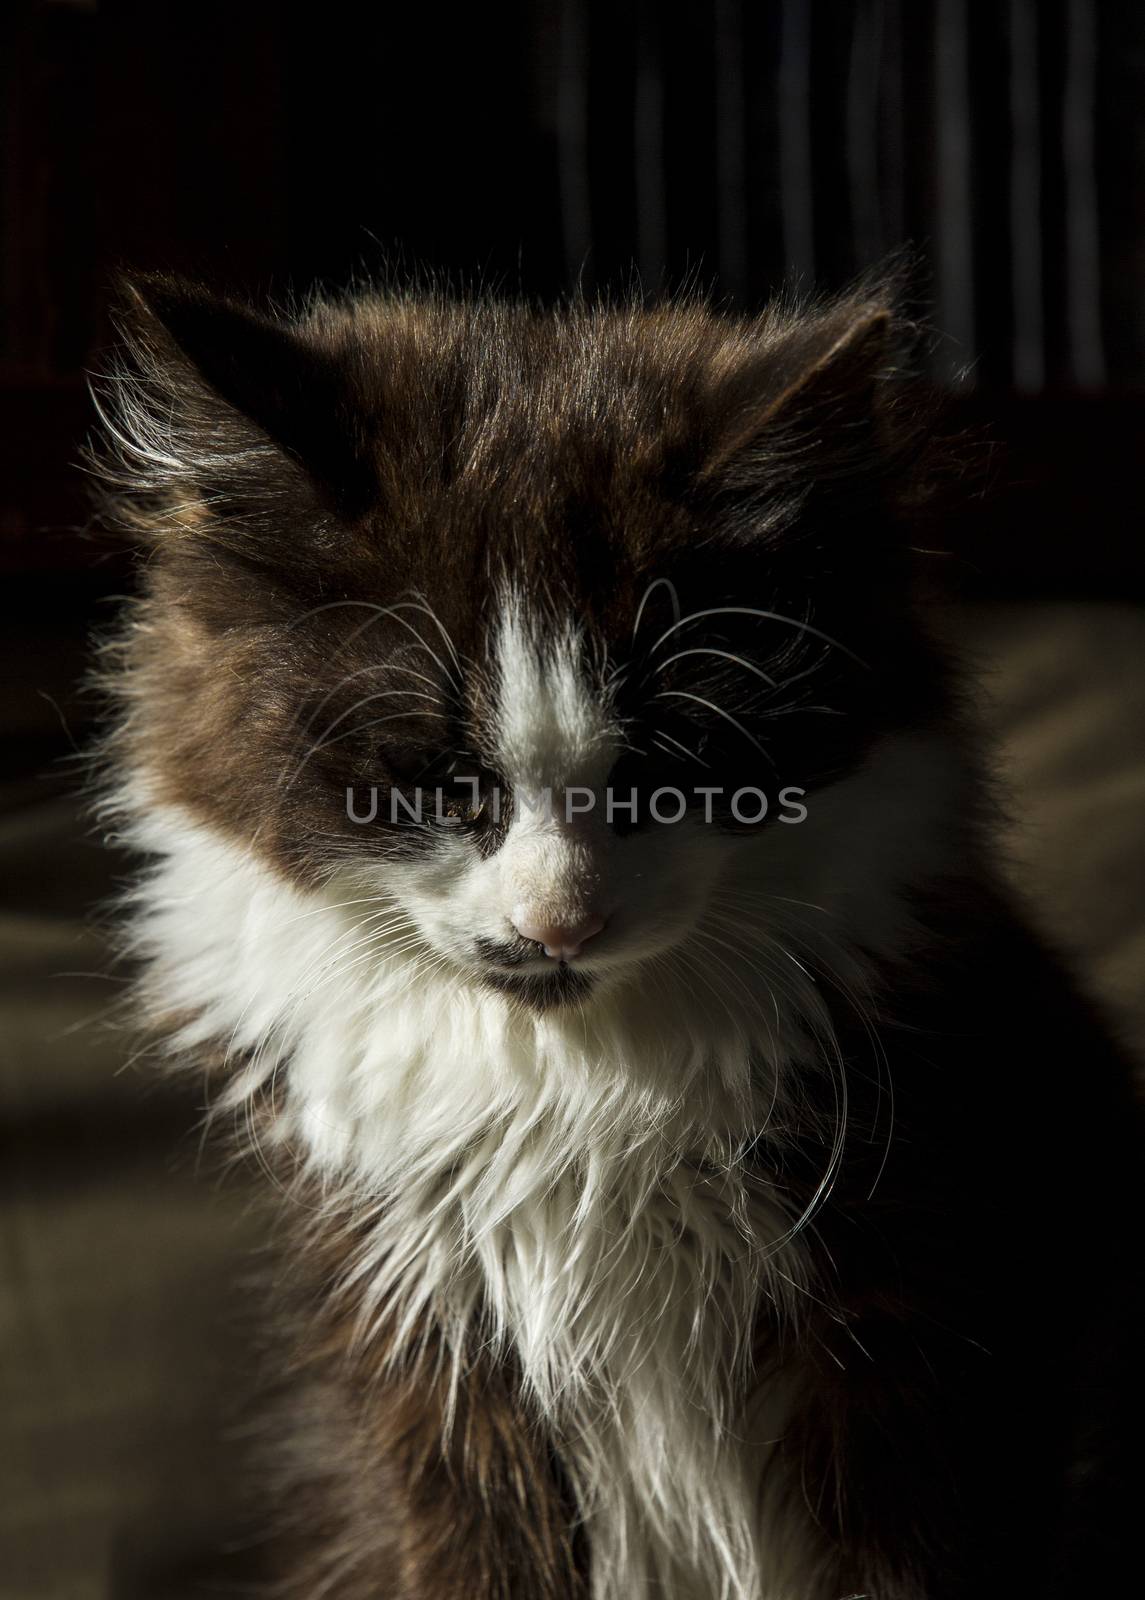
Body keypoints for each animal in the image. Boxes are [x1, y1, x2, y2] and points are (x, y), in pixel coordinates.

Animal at [91, 281, 1145, 1593]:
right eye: (443, 786)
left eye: (668, 770)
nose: (561, 920)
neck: (581, 1095)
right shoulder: (433, 1365)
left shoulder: (922, 1341)